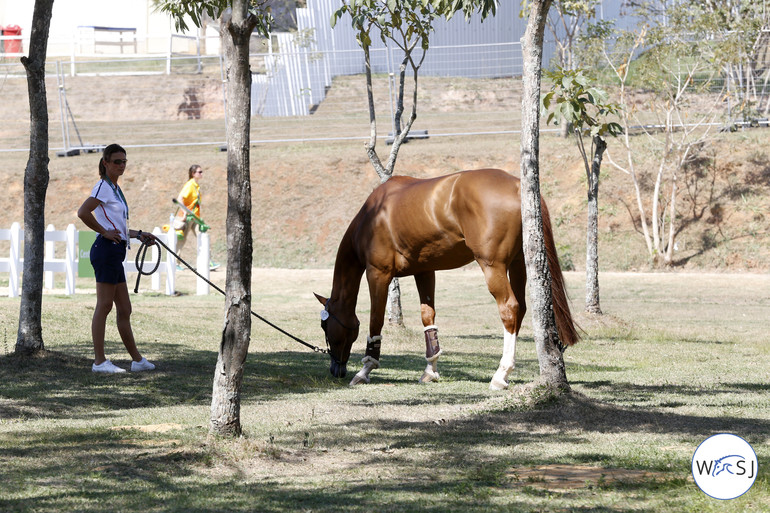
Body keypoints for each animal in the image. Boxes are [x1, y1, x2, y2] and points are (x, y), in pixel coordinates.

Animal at [314, 168, 576, 388]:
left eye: (325, 325)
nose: (336, 370)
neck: (372, 216)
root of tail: (516, 185)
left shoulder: (378, 273)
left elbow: (375, 321)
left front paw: (365, 369)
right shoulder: (424, 271)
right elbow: (428, 318)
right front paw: (430, 370)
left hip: (493, 266)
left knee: (509, 308)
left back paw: (501, 374)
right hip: (519, 264)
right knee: (520, 308)